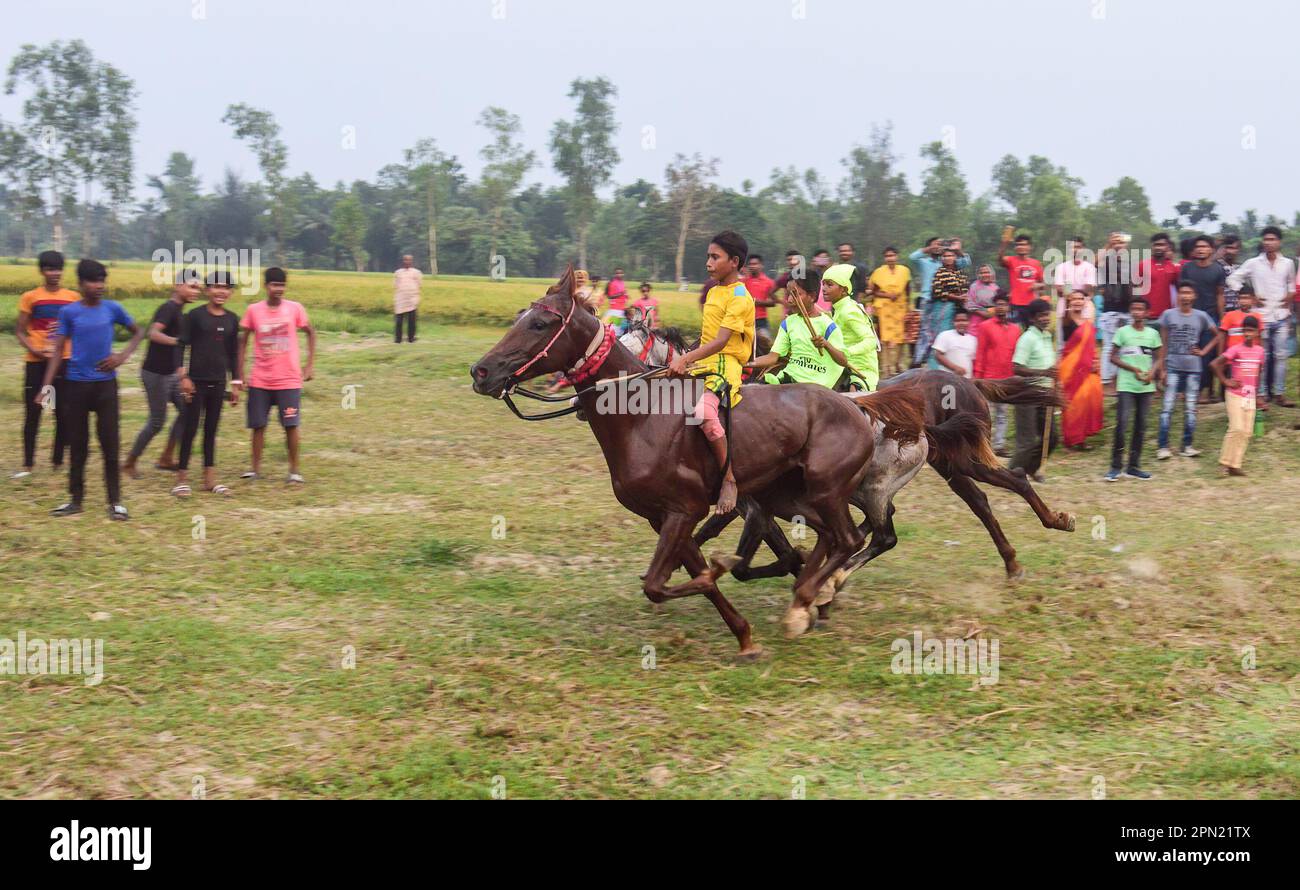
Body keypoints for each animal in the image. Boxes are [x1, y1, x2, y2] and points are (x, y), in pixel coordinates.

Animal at [470, 265, 926, 654]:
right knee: (835, 538)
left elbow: (664, 582)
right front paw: (744, 636)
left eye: (540, 323)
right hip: (794, 497)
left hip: (829, 490)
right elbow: (694, 576)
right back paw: (810, 598)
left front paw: (723, 570)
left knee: (852, 538)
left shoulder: (687, 509)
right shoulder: (665, 517)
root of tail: (859, 404)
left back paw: (810, 599)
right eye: (520, 316)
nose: (481, 371)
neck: (641, 416)